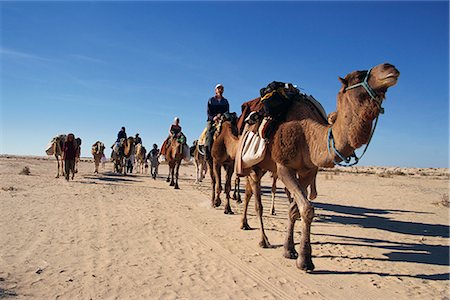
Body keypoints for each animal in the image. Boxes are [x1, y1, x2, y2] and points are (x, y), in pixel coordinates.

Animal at [241, 63, 400, 272]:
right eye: (358, 76)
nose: (390, 68)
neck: (308, 135)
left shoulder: (308, 172)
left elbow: (295, 209)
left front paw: (289, 250)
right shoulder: (284, 167)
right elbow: (307, 208)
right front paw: (305, 260)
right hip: (254, 164)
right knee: (256, 202)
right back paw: (262, 239)